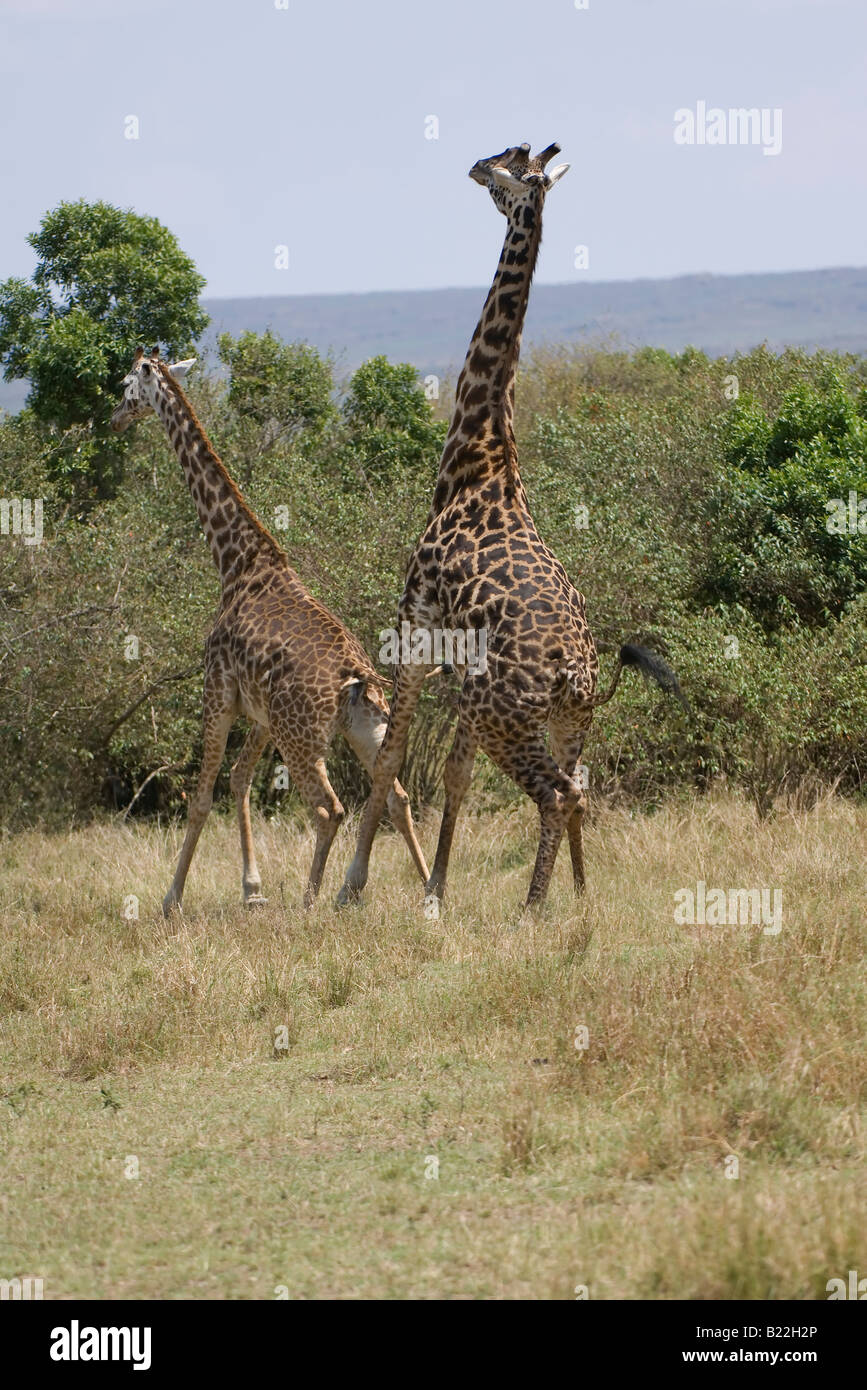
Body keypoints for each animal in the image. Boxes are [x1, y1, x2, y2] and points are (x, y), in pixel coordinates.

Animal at [339, 146, 683, 917]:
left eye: (503, 170)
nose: (471, 166)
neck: (481, 455)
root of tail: (575, 673)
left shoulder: (414, 621)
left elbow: (391, 757)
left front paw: (352, 888)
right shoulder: (462, 665)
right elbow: (456, 775)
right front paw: (434, 892)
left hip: (506, 716)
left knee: (554, 794)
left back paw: (531, 910)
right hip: (564, 720)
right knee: (579, 788)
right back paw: (575, 897)